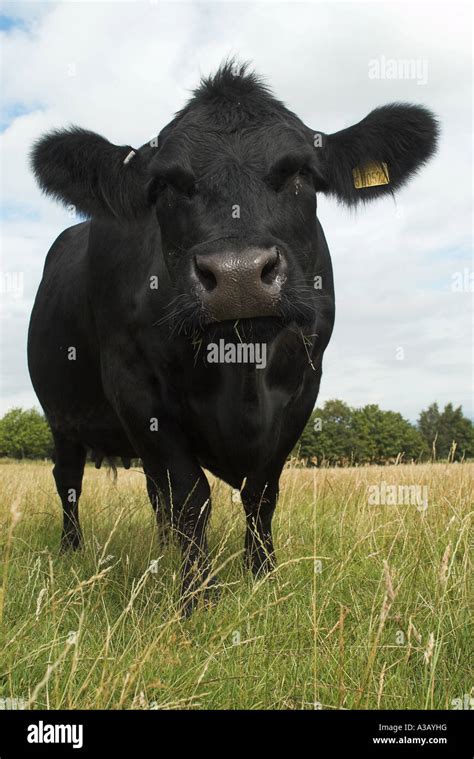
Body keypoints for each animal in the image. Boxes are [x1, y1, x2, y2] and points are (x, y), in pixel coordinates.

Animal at [27, 62, 438, 616]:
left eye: (300, 174)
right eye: (164, 186)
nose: (238, 274)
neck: (239, 367)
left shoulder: (305, 383)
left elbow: (261, 492)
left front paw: (263, 577)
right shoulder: (133, 384)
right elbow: (190, 494)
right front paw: (197, 597)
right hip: (61, 415)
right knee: (70, 481)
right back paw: (73, 551)